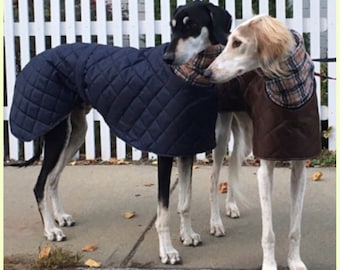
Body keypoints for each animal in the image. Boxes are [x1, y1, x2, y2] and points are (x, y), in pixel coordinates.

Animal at [205, 14, 322, 270]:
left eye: (238, 43)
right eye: (229, 41)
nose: (208, 74)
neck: (289, 93)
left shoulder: (300, 167)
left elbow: (295, 229)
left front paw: (295, 261)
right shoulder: (265, 168)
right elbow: (268, 233)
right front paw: (269, 264)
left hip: (247, 138)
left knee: (233, 163)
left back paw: (231, 205)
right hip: (221, 135)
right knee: (214, 178)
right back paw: (215, 222)